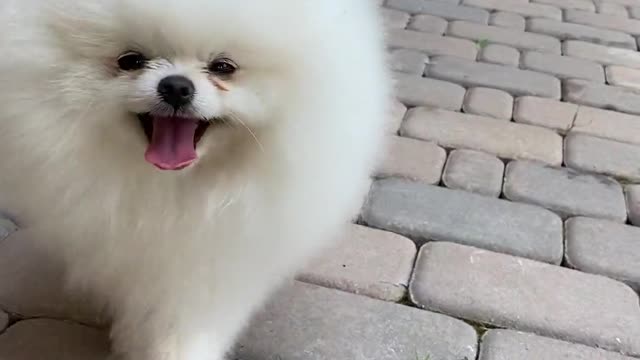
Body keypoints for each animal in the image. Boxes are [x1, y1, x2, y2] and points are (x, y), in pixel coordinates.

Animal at [0, 0, 390, 358]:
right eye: (131, 60)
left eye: (223, 68)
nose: (175, 86)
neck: (173, 188)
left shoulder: (215, 261)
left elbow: (185, 323)